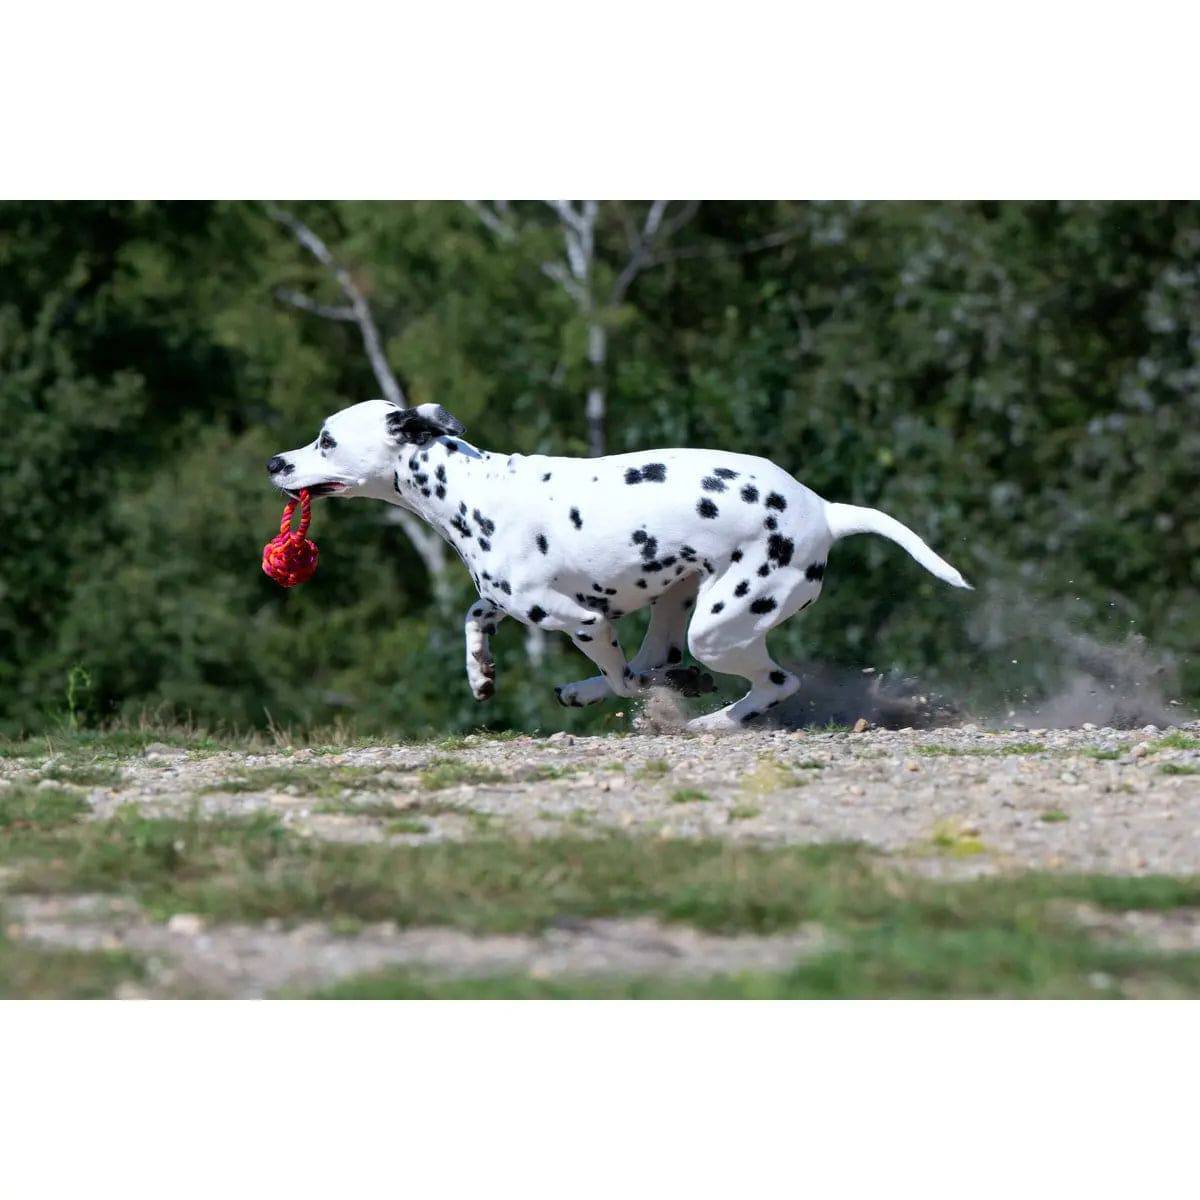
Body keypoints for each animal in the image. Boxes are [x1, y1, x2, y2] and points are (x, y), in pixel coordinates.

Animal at [267, 400, 969, 729]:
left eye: (326, 439)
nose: (274, 462)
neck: (470, 488)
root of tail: (824, 510)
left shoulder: (584, 621)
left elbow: (628, 678)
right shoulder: (511, 603)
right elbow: (473, 617)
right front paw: (480, 674)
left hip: (718, 626)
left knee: (773, 683)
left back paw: (712, 723)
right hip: (679, 598)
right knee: (662, 655)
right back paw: (593, 691)